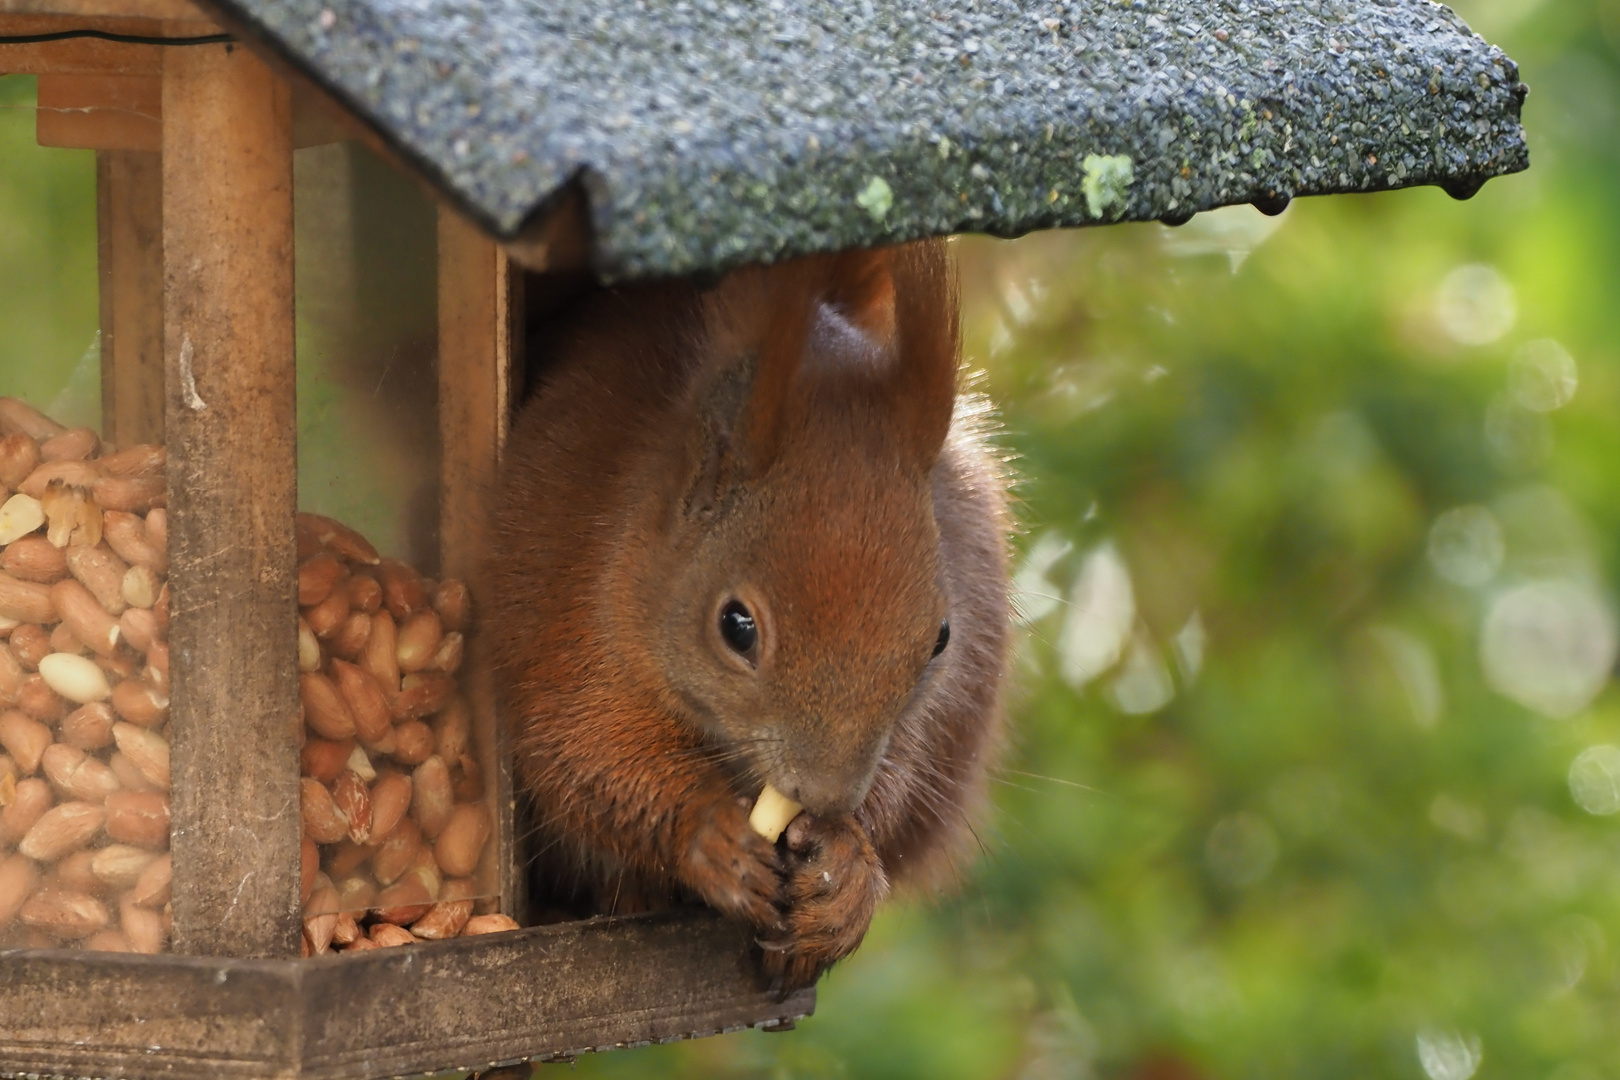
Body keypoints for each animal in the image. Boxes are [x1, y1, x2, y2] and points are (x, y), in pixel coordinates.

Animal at [486, 236, 1004, 990]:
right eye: (736, 626)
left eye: (940, 639)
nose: (824, 795)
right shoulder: (566, 610)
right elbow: (583, 752)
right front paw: (709, 834)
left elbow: (902, 771)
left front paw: (846, 865)